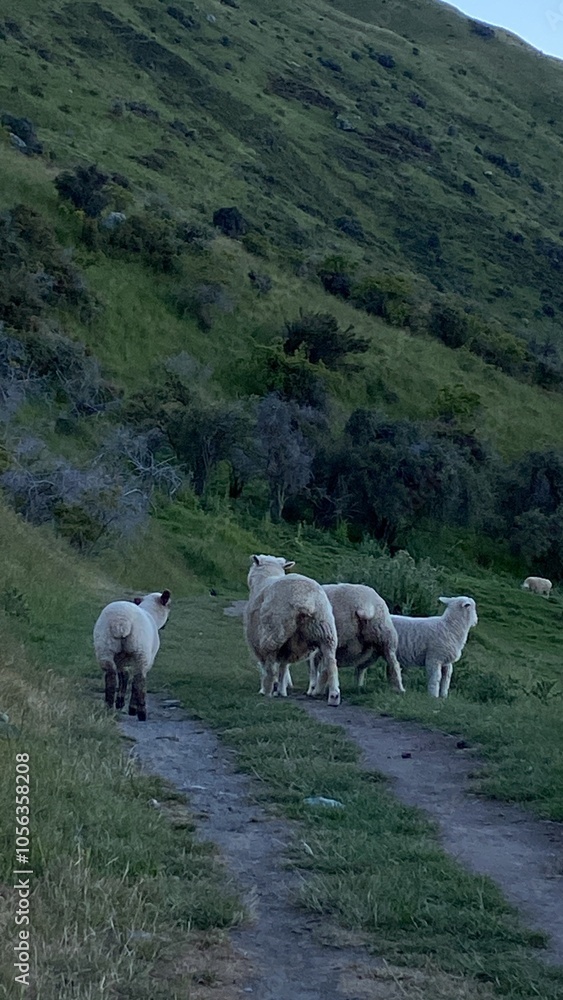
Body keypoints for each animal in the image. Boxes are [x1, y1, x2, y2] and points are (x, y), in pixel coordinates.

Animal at [93, 590, 171, 721]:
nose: (167, 624)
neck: (152, 614)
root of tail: (120, 621)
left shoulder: (120, 659)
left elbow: (124, 675)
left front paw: (120, 702)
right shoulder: (147, 659)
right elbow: (134, 680)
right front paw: (131, 707)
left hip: (105, 648)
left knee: (111, 676)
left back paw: (109, 707)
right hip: (140, 652)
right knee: (139, 680)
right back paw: (141, 712)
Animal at [245, 555, 341, 706]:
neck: (265, 578)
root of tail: (306, 599)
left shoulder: (256, 638)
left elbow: (267, 666)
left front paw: (272, 689)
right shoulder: (288, 646)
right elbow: (284, 666)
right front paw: (282, 691)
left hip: (274, 630)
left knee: (270, 666)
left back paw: (267, 691)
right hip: (326, 630)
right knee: (331, 662)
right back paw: (334, 696)